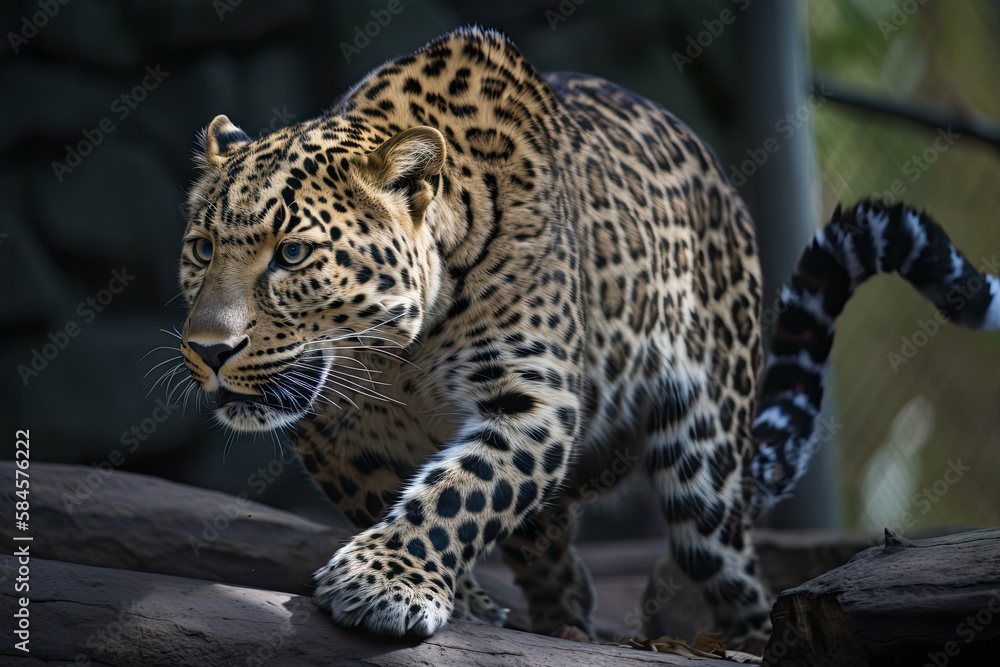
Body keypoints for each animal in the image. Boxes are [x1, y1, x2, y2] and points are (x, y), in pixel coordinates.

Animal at [175, 25, 1000, 647]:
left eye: (292, 254)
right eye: (202, 248)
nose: (209, 352)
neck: (394, 357)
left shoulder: (534, 401)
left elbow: (462, 492)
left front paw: (385, 580)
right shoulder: (332, 434)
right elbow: (406, 491)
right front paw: (461, 597)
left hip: (704, 462)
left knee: (731, 568)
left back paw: (750, 639)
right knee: (555, 549)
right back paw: (560, 615)